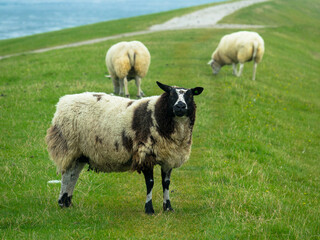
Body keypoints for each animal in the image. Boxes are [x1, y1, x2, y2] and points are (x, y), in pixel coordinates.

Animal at [45, 81, 202, 215]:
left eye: (190, 95)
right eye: (171, 94)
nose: (180, 106)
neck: (157, 115)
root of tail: (63, 102)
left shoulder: (168, 157)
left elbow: (166, 183)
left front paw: (168, 207)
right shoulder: (145, 154)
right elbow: (150, 183)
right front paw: (149, 209)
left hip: (81, 153)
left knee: (73, 175)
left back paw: (68, 203)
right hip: (69, 146)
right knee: (67, 175)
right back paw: (62, 203)